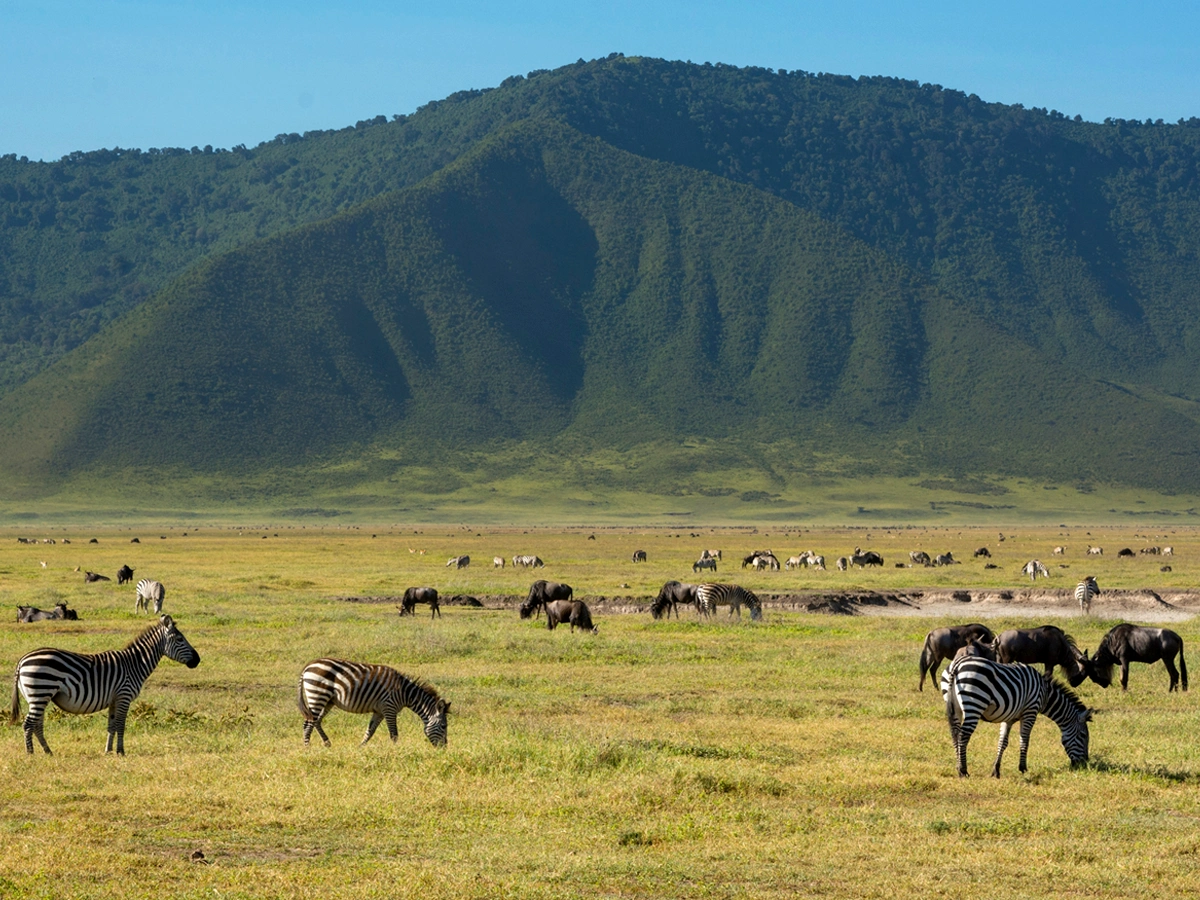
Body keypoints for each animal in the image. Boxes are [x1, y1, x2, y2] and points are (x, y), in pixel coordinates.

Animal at [9, 619, 199, 758]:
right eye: (180, 639)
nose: (198, 660)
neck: (135, 664)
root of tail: (22, 661)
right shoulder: (124, 696)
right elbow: (121, 725)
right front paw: (121, 752)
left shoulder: (114, 700)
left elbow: (111, 725)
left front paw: (108, 751)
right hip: (41, 691)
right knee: (28, 724)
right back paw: (30, 754)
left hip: (37, 697)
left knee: (37, 725)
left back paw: (48, 751)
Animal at [298, 657, 451, 748]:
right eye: (444, 726)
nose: (444, 748)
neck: (405, 693)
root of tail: (308, 666)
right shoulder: (389, 708)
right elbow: (394, 734)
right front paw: (396, 751)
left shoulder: (379, 711)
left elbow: (370, 731)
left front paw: (360, 747)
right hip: (318, 694)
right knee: (308, 723)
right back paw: (307, 748)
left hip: (328, 700)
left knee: (316, 721)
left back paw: (327, 743)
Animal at [940, 657, 1094, 782]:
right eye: (1083, 735)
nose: (1084, 763)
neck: (1044, 694)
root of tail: (957, 664)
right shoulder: (1031, 711)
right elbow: (1025, 739)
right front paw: (1023, 768)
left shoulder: (1009, 717)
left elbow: (1003, 742)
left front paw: (996, 771)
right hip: (974, 703)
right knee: (963, 736)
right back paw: (963, 770)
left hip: (955, 707)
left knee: (955, 735)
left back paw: (958, 767)